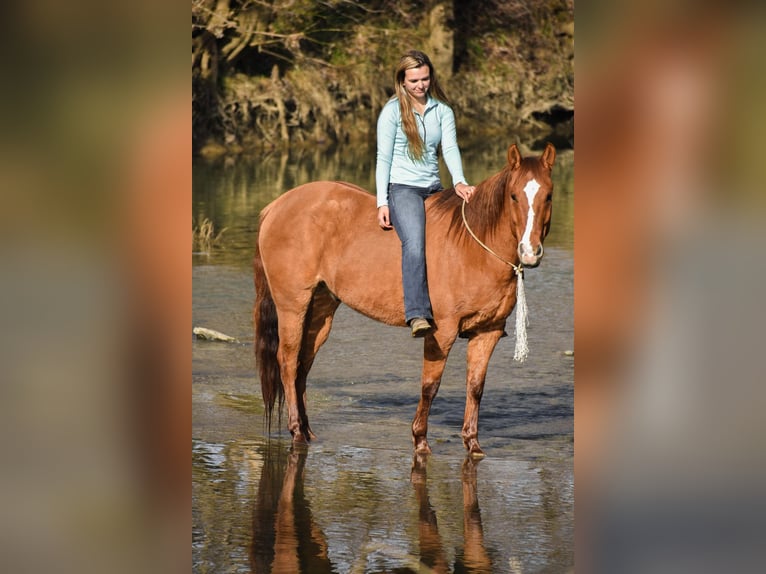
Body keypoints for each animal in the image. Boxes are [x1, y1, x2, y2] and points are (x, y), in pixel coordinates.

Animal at [255, 144, 556, 460]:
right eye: (514, 196)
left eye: (548, 195)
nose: (530, 252)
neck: (472, 249)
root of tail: (275, 207)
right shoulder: (442, 332)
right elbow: (430, 386)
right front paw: (420, 440)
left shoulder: (488, 333)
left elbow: (475, 388)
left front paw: (472, 443)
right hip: (292, 306)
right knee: (288, 362)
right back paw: (297, 432)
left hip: (320, 310)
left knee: (302, 365)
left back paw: (307, 430)